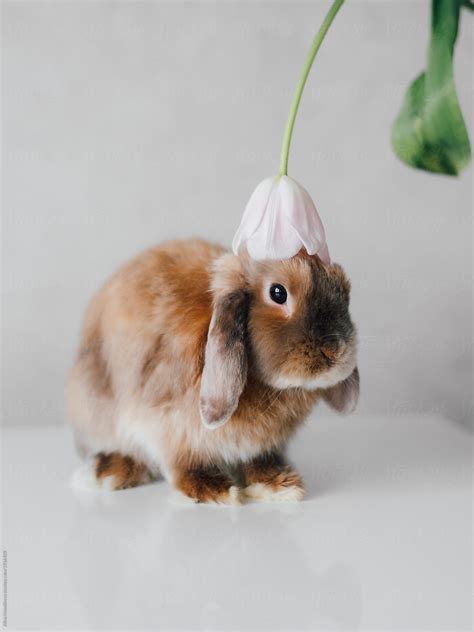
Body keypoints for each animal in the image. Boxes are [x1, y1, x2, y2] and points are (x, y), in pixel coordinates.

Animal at [65, 238, 358, 504]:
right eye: (278, 293)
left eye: (345, 291)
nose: (335, 350)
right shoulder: (167, 426)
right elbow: (182, 465)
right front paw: (213, 489)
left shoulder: (261, 447)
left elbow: (259, 461)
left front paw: (278, 484)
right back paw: (107, 472)